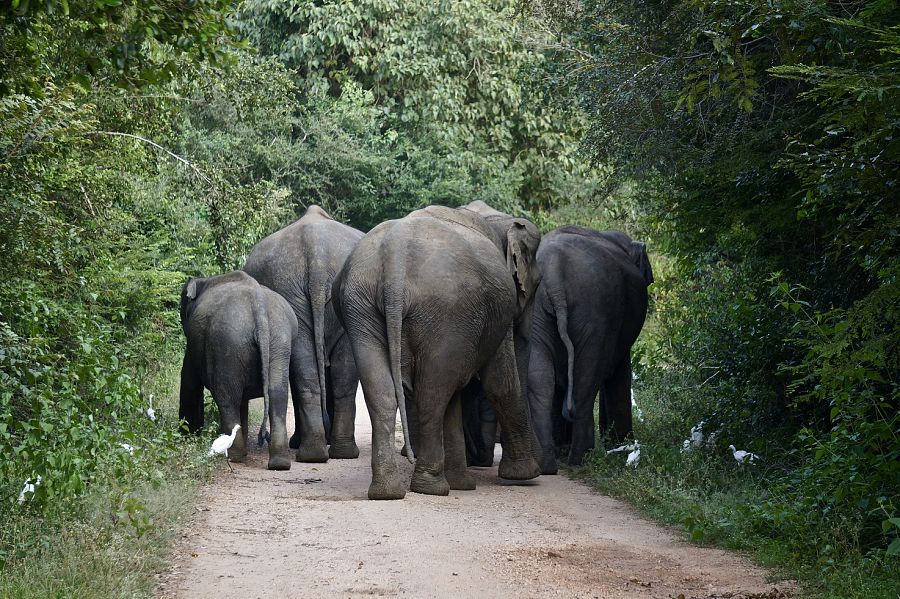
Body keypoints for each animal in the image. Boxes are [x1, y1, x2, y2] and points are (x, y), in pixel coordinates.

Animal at [178, 270, 306, 472]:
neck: (205, 280)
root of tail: (259, 309)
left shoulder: (192, 345)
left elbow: (189, 382)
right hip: (279, 340)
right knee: (277, 394)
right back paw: (279, 463)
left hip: (227, 341)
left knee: (227, 397)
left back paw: (235, 457)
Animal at [332, 204, 536, 500]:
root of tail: (394, 256)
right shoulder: (499, 315)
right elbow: (500, 382)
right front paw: (524, 475)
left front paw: (463, 483)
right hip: (447, 310)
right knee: (432, 393)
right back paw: (432, 488)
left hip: (360, 306)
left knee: (385, 392)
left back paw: (388, 492)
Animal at [528, 225, 652, 474]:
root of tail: (554, 273)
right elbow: (619, 373)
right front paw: (620, 447)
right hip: (595, 311)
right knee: (586, 381)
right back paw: (581, 457)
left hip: (539, 310)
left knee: (541, 380)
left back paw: (548, 463)